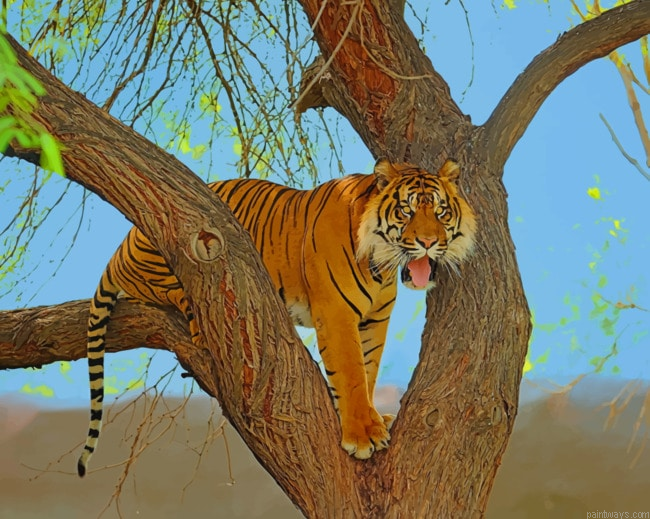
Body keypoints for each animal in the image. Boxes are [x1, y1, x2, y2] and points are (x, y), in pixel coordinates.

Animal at [77, 158, 477, 476]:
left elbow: (368, 371)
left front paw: (373, 419)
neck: (380, 266)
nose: (428, 242)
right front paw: (363, 434)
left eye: (441, 211)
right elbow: (350, 373)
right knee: (165, 290)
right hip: (175, 251)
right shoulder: (337, 312)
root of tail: (119, 249)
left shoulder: (373, 322)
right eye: (406, 211)